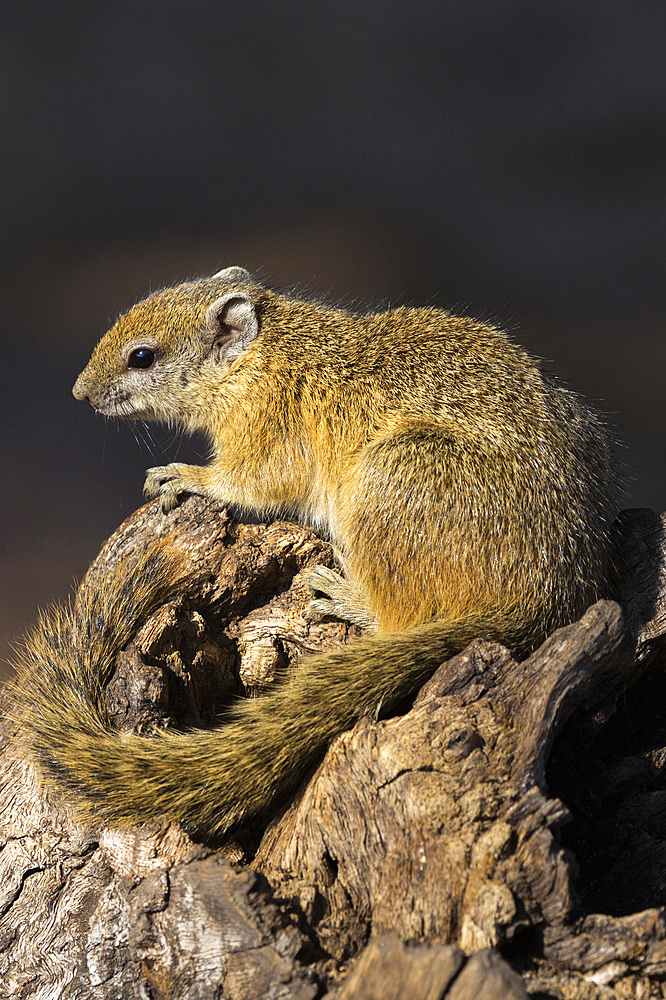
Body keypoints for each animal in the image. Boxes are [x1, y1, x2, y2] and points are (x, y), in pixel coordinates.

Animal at [15, 266, 616, 836]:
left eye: (142, 355)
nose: (79, 392)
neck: (263, 356)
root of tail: (546, 595)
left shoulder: (266, 441)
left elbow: (245, 484)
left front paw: (183, 476)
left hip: (388, 477)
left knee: (399, 616)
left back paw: (343, 594)